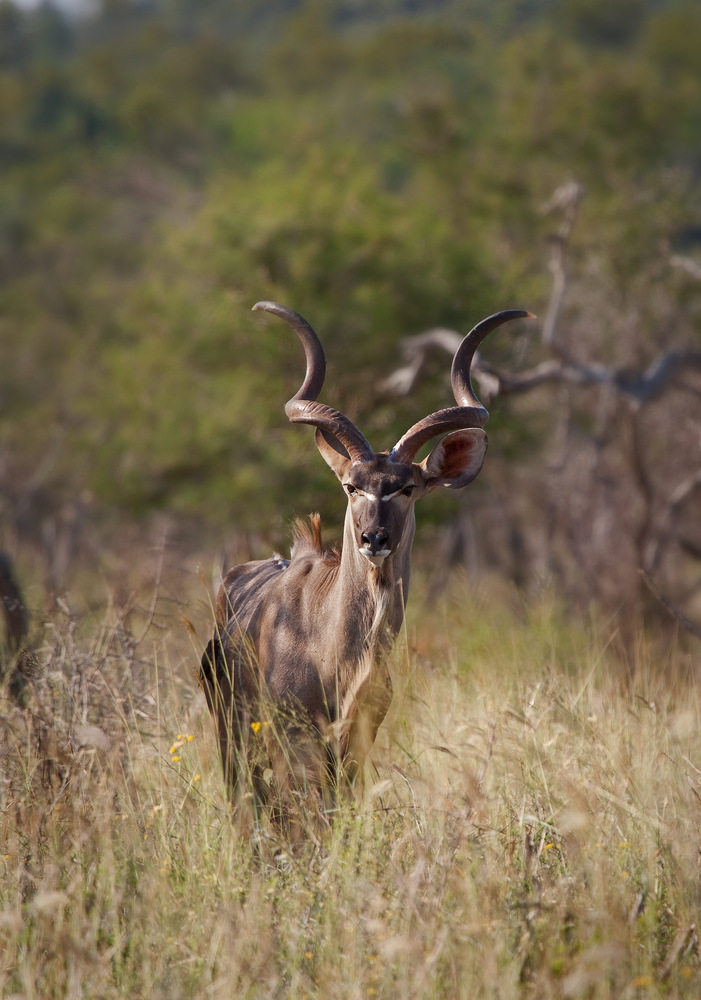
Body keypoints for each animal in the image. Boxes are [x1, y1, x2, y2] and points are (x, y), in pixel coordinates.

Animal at [200, 300, 528, 832]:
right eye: (352, 486)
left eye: (408, 487)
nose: (374, 538)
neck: (336, 655)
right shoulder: (295, 741)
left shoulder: (357, 739)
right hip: (235, 740)